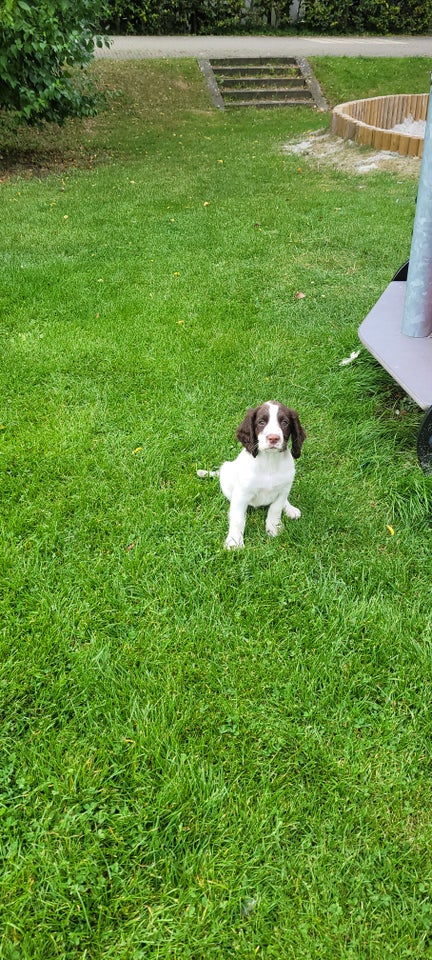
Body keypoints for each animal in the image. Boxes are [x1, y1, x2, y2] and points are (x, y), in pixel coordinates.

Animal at [197, 398, 306, 548]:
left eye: (285, 422)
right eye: (261, 422)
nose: (273, 438)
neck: (269, 461)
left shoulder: (283, 489)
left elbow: (275, 509)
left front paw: (274, 528)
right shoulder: (241, 494)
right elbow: (237, 519)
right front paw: (234, 542)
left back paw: (290, 509)